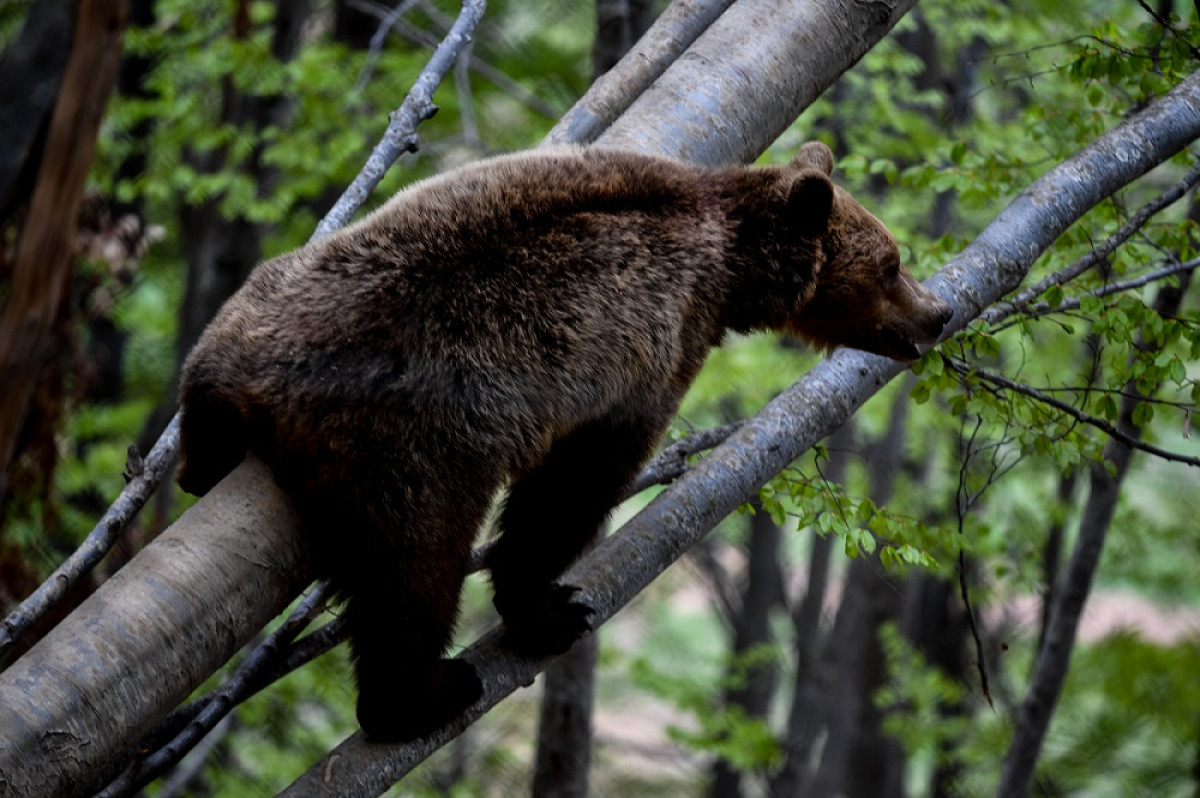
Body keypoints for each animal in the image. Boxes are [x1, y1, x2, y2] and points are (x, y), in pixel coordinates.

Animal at [174, 141, 950, 739]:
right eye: (890, 263)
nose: (937, 312)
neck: (731, 273)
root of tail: (271, 385)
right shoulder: (649, 353)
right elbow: (570, 491)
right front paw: (552, 609)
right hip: (412, 447)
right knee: (413, 578)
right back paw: (424, 693)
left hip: (258, 308)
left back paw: (197, 464)